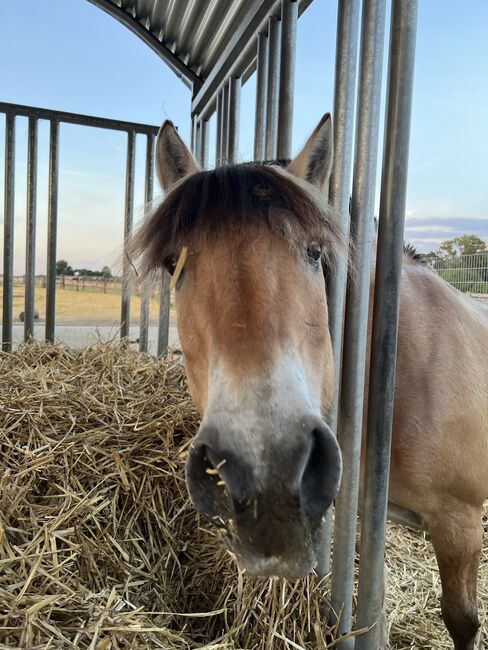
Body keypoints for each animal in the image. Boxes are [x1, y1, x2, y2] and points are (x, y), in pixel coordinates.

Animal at [131, 114, 488, 644]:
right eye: (174, 263)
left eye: (315, 253)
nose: (267, 469)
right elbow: (374, 607)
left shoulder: (459, 522)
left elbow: (461, 621)